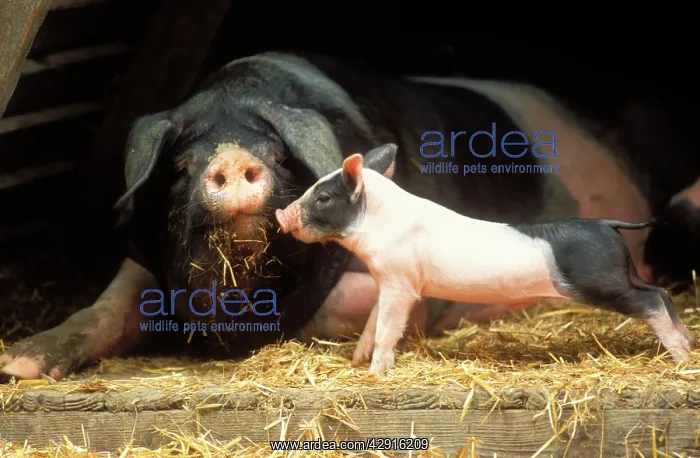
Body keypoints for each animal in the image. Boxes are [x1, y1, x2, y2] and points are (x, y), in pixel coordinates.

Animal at [275, 144, 696, 372]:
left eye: (323, 197)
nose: (281, 214)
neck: (378, 226)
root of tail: (606, 223)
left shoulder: (401, 283)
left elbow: (387, 329)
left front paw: (377, 371)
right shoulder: (388, 280)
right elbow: (372, 324)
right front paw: (356, 363)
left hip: (598, 281)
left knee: (650, 300)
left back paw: (680, 357)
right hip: (620, 272)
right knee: (660, 291)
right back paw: (690, 343)